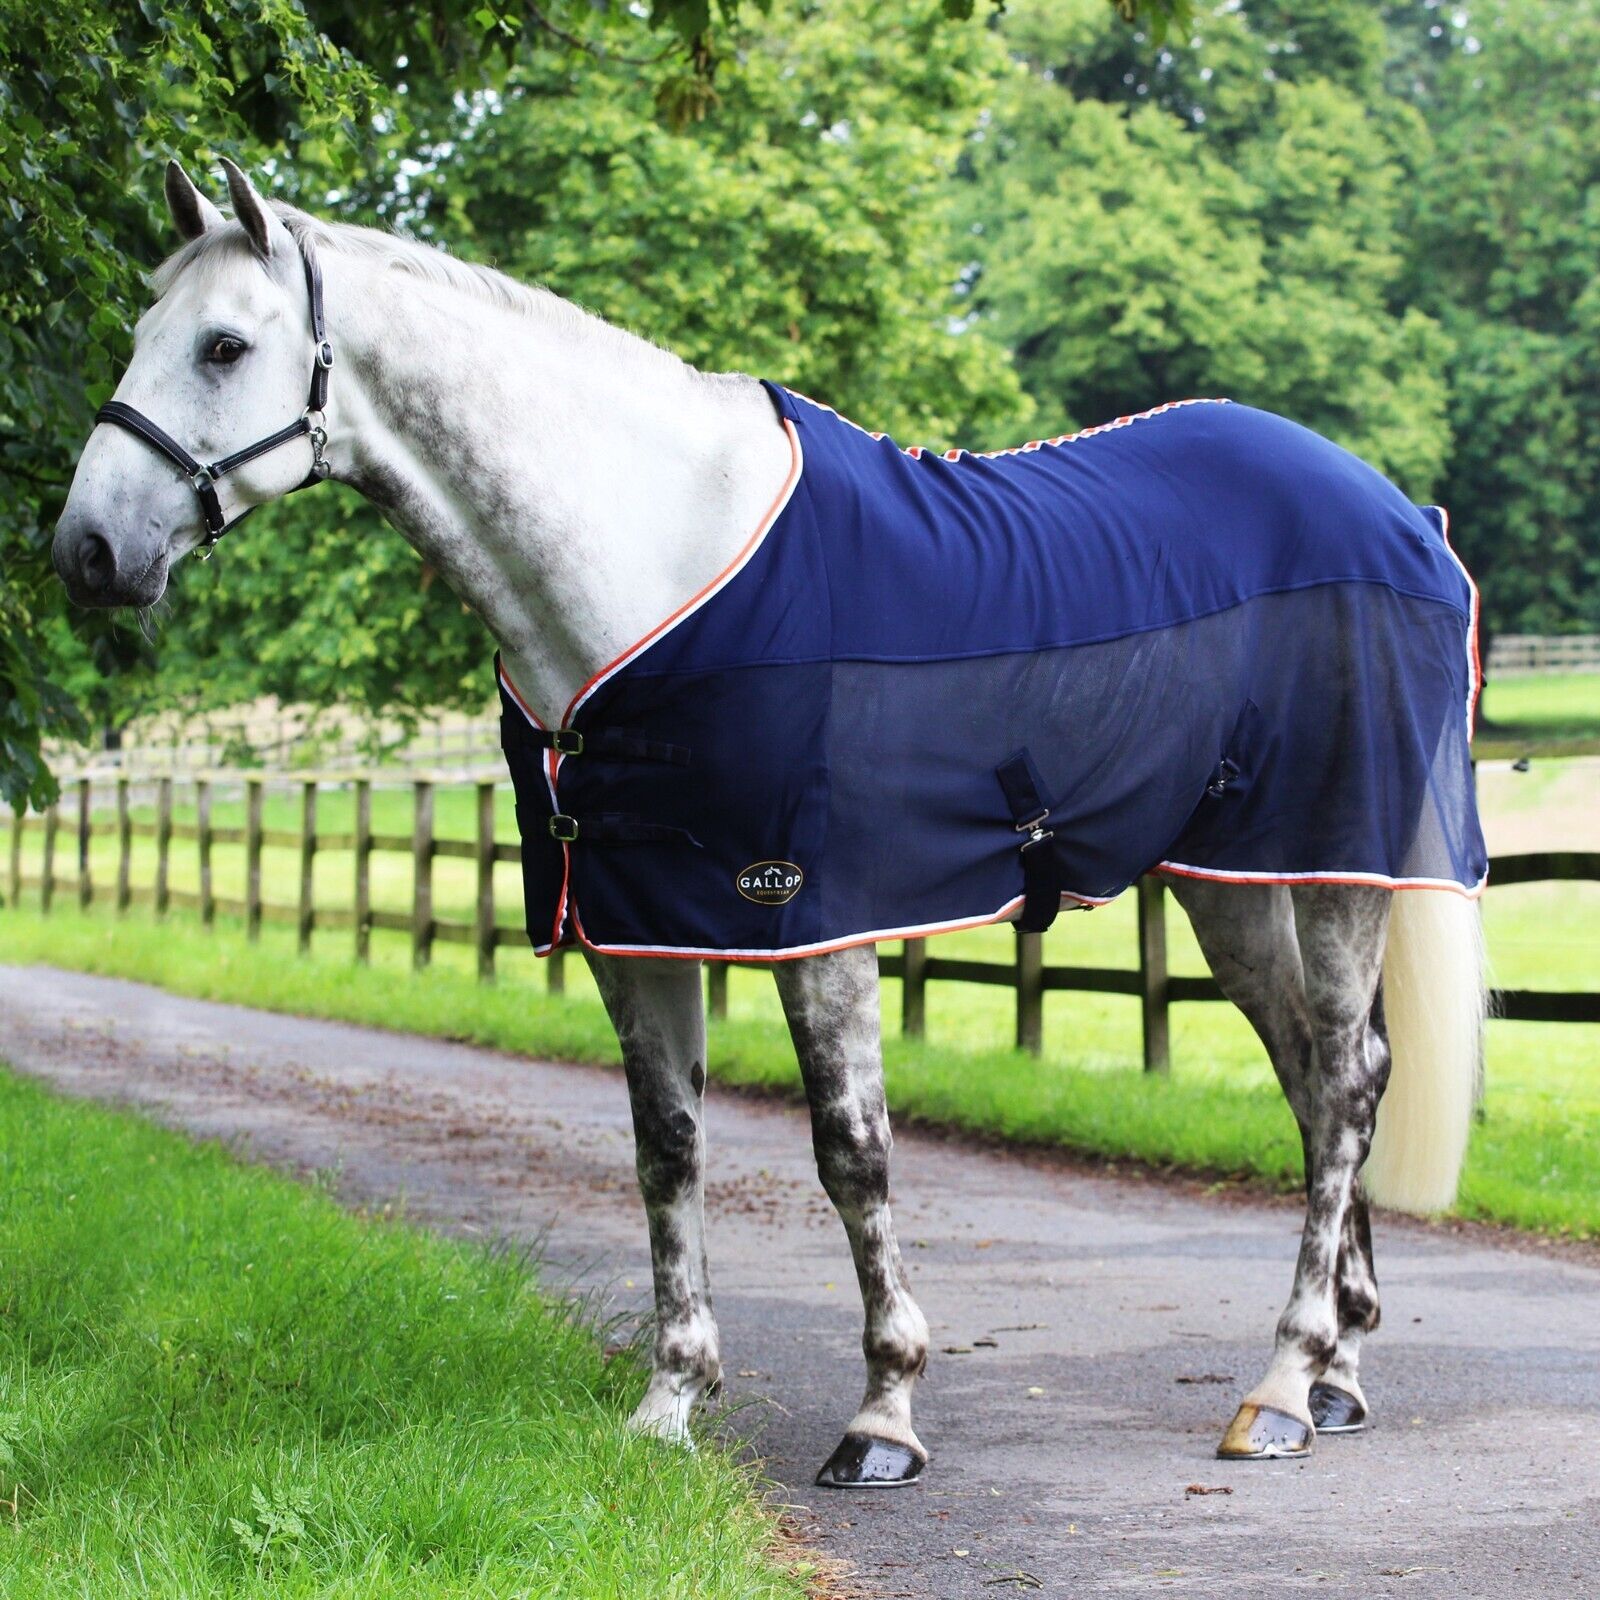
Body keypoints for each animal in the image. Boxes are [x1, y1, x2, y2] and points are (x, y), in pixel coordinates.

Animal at [54, 161, 1487, 1486]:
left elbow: (851, 1154)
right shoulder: (632, 926)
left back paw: (1283, 1386)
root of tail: (1402, 514)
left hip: (1343, 857)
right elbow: (665, 1150)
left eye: (223, 345)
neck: (655, 562)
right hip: (1230, 874)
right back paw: (1337, 1366)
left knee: (1347, 1080)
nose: (85, 550)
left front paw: (884, 1413)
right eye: (138, 326)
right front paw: (670, 1402)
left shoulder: (808, 914)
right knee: (1313, 1073)